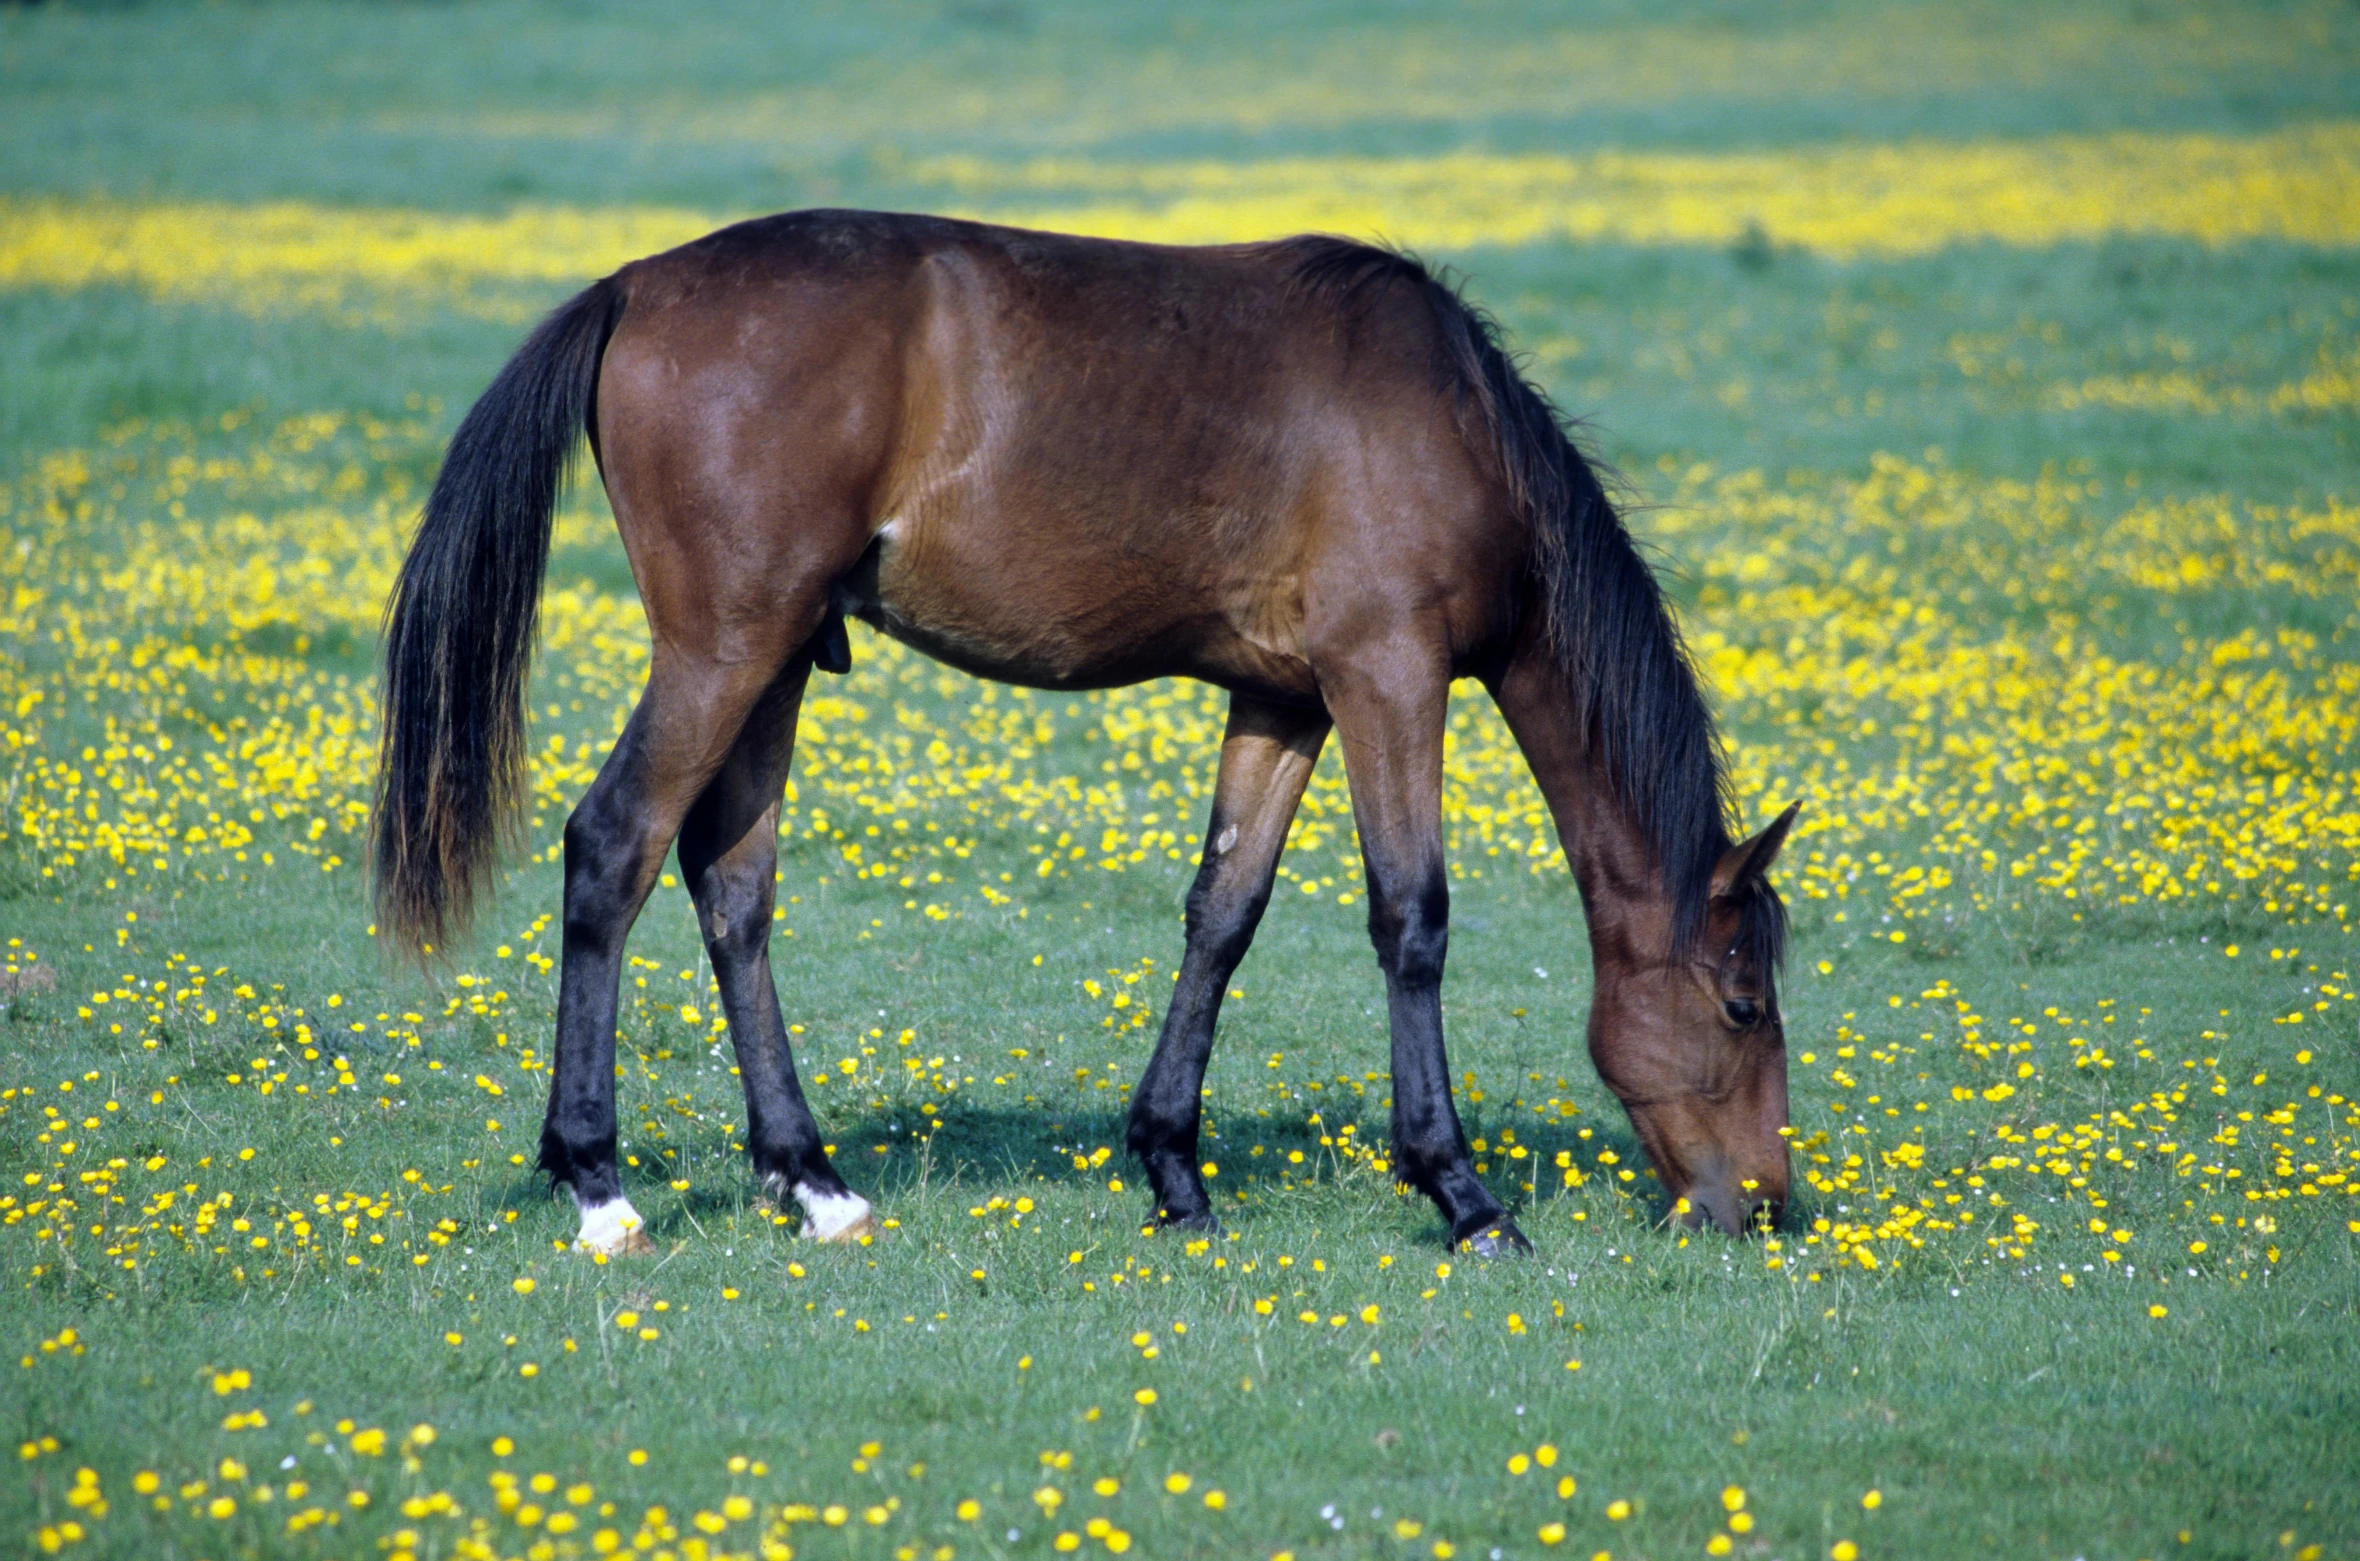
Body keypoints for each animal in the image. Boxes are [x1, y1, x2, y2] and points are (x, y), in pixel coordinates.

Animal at [377, 210, 1793, 1256]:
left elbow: (1223, 912)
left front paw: (1173, 1167)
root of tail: (634, 285)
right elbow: (1412, 918)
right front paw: (1458, 1191)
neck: (1448, 423)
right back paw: (598, 1185)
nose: (1766, 1206)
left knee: (731, 887)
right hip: (722, 650)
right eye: (1738, 1005)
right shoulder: (1387, 675)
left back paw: (811, 1179)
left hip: (774, 661)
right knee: (611, 848)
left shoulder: (1284, 698)